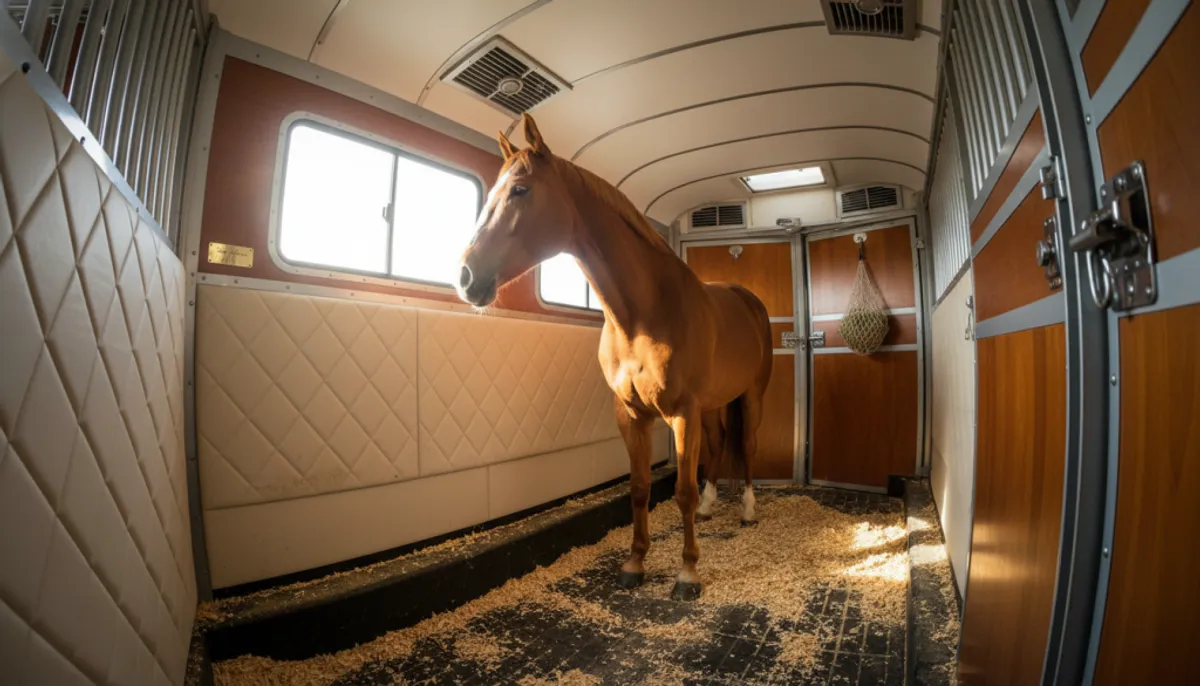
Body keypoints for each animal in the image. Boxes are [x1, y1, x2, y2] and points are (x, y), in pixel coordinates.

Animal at [456, 114, 773, 601]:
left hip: (752, 395)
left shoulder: (682, 414)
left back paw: (748, 510)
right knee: (720, 446)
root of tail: (748, 299)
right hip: (713, 405)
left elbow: (680, 489)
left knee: (749, 446)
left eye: (520, 190)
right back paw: (709, 506)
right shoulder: (630, 413)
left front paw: (687, 574)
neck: (642, 315)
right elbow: (640, 488)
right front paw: (634, 563)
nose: (467, 277)